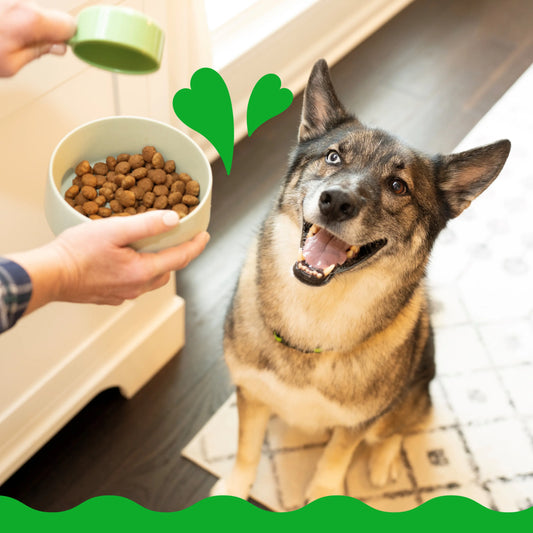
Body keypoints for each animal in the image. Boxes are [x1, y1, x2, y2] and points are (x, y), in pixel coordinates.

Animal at [213, 59, 512, 502]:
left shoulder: (356, 424)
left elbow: (336, 459)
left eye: (398, 186)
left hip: (414, 392)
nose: (336, 201)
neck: (315, 313)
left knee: (398, 428)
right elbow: (247, 449)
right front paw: (234, 489)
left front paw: (324, 491)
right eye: (333, 157)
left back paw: (384, 461)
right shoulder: (251, 395)